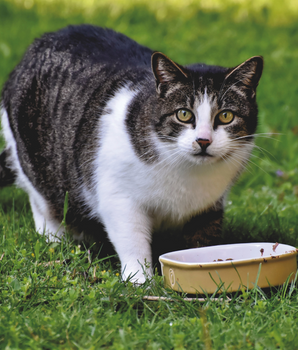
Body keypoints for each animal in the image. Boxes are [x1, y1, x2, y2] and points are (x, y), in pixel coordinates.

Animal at [0, 24, 264, 282]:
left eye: (226, 116)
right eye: (184, 114)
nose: (203, 140)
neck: (188, 175)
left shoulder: (209, 206)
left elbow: (203, 241)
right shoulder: (118, 196)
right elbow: (132, 239)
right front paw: (140, 279)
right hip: (34, 162)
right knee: (42, 202)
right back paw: (56, 240)